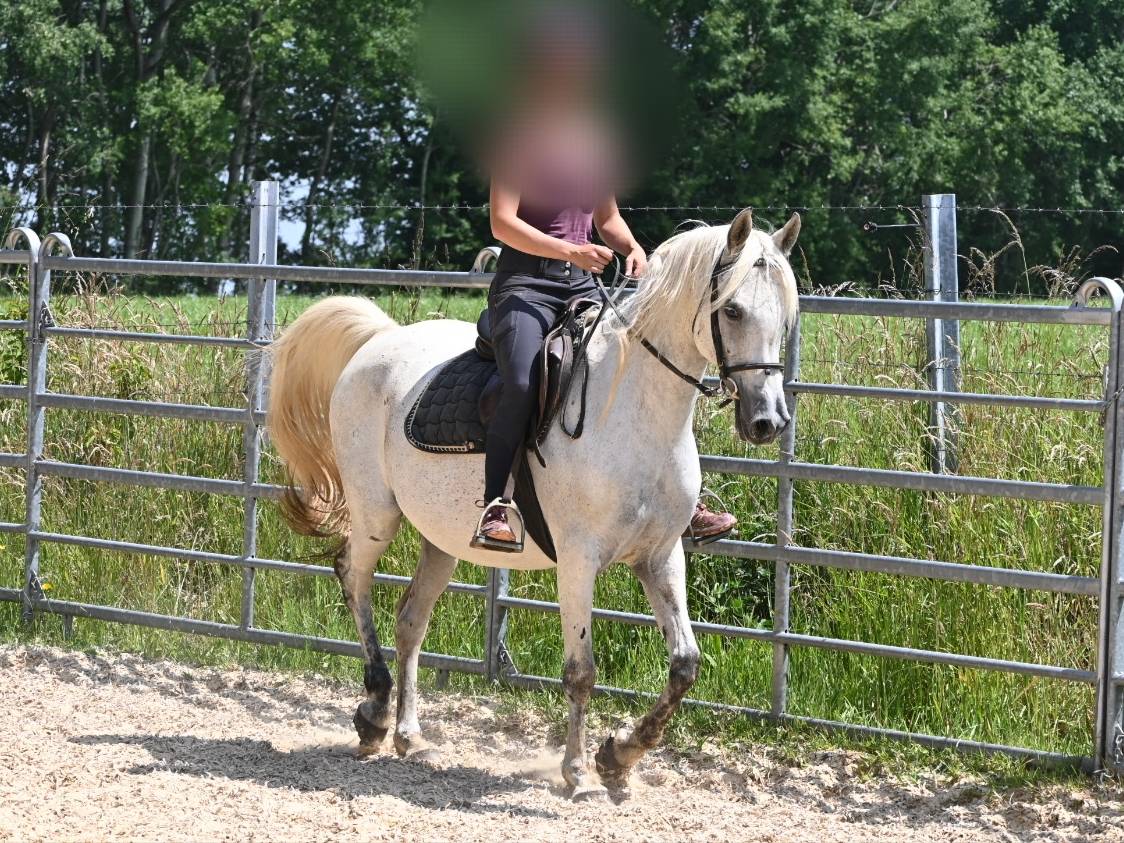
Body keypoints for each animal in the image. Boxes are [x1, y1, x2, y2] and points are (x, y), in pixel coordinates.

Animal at [267, 208, 801, 801]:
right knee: (352, 574)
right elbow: (581, 670)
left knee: (411, 620)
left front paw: (619, 757)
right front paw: (579, 773)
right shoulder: (578, 560)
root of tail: (381, 341)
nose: (767, 421)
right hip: (376, 514)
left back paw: (410, 735)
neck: (633, 410)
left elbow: (685, 665)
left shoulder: (660, 556)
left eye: (785, 318)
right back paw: (375, 713)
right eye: (732, 309)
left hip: (441, 537)